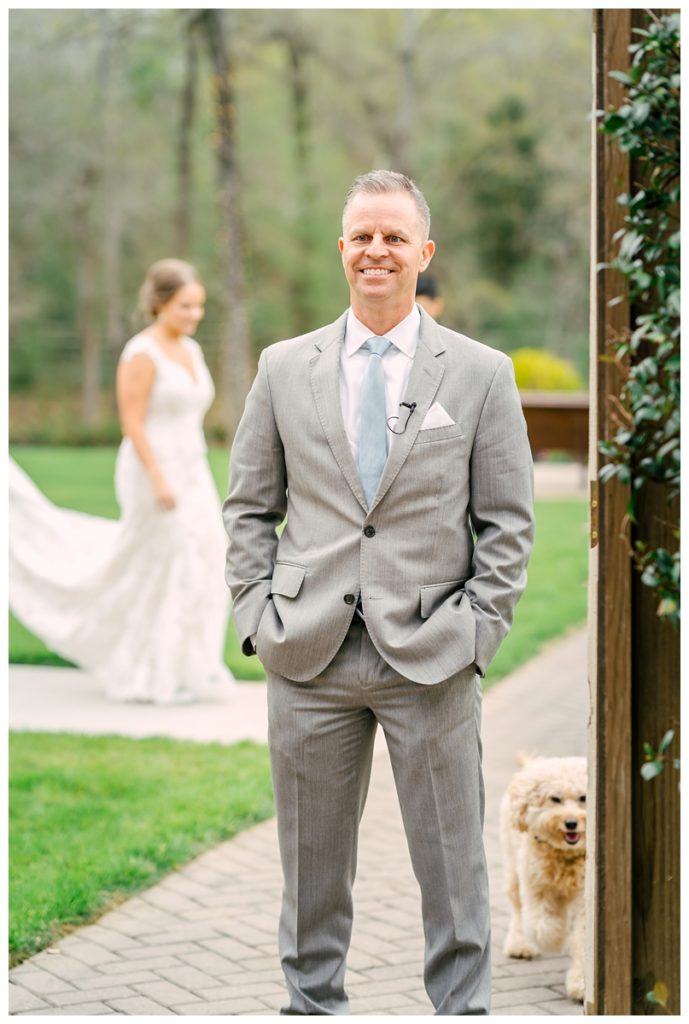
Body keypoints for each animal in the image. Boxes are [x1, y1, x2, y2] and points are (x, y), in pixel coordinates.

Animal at [499, 753, 585, 999]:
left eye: (583, 798)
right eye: (555, 799)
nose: (571, 823)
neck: (566, 856)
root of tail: (531, 766)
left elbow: (582, 939)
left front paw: (580, 984)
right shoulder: (536, 887)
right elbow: (542, 925)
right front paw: (555, 941)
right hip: (514, 871)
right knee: (518, 910)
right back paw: (520, 944)